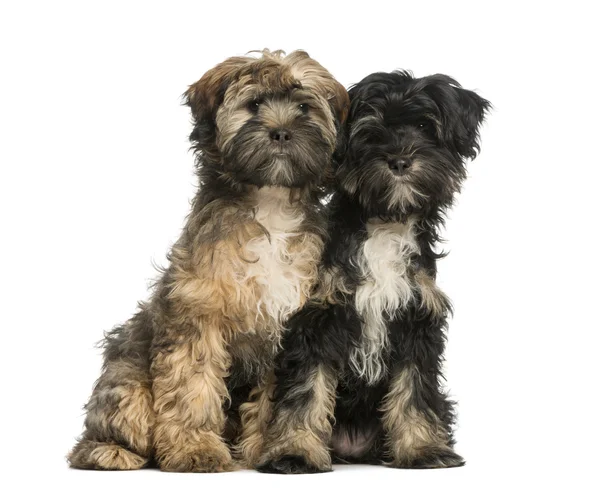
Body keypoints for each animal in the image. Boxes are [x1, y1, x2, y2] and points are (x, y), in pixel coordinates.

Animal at [68, 50, 350, 472]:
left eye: (304, 107)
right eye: (254, 105)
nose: (282, 133)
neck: (269, 206)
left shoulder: (286, 327)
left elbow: (271, 399)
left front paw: (265, 449)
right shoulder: (197, 313)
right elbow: (192, 385)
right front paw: (194, 449)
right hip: (128, 380)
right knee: (111, 423)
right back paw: (111, 451)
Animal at [255, 70, 490, 472]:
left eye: (425, 126)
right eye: (371, 131)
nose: (399, 160)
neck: (385, 223)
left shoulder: (417, 319)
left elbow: (414, 389)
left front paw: (422, 448)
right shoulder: (317, 320)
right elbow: (306, 388)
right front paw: (295, 450)